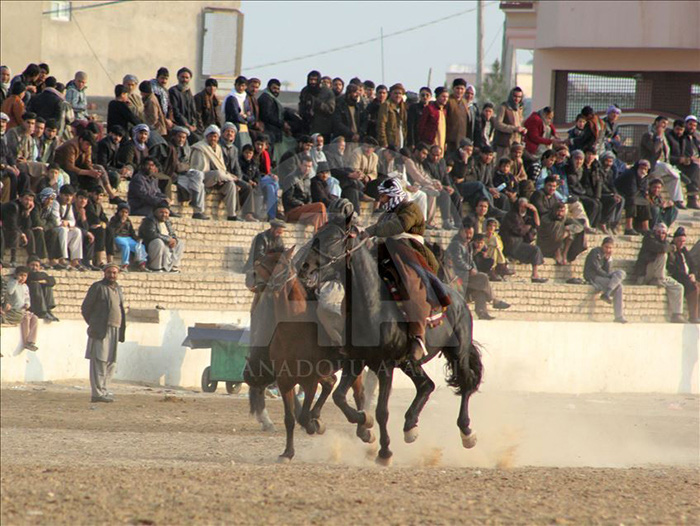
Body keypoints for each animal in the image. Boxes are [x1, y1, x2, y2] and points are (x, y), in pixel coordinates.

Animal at [245, 248, 374, 462]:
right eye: (260, 262)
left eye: (283, 264)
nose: (253, 279)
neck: (294, 327)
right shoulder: (285, 381)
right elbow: (290, 419)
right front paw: (288, 453)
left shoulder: (310, 380)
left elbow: (304, 416)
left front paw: (315, 424)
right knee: (332, 384)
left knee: (358, 393)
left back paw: (364, 429)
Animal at [298, 225, 484, 468]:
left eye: (332, 239)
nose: (304, 268)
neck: (372, 305)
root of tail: (459, 300)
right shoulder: (355, 361)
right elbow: (339, 397)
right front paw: (365, 425)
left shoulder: (384, 366)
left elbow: (381, 411)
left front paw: (384, 451)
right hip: (409, 362)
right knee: (427, 385)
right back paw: (410, 426)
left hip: (457, 352)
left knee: (466, 382)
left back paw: (467, 432)